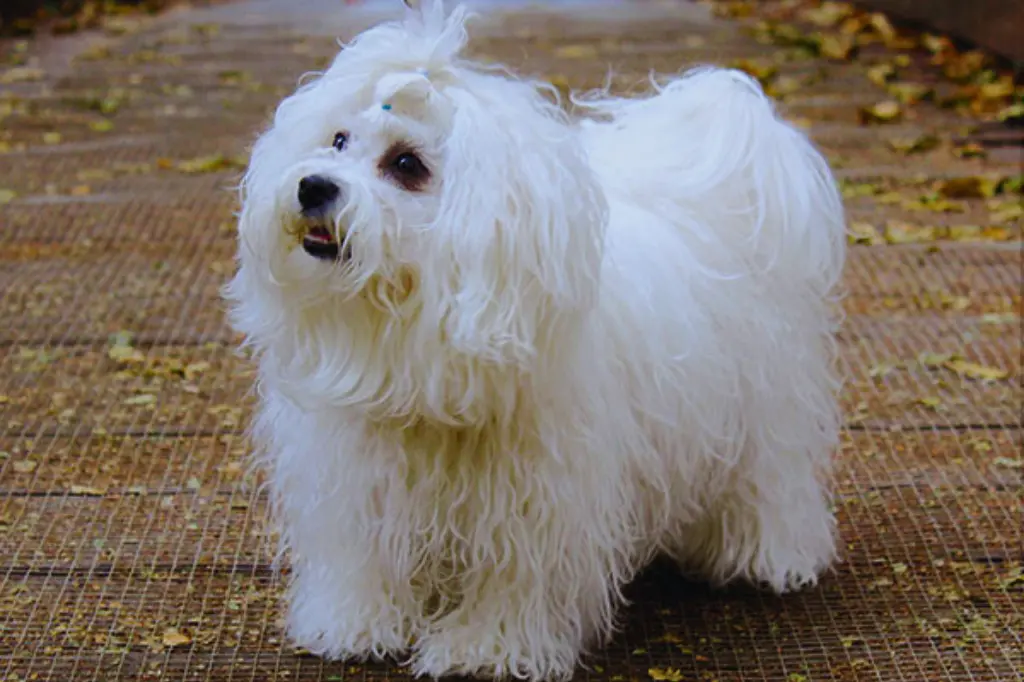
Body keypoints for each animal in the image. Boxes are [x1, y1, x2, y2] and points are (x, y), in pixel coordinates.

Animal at [226, 2, 847, 675]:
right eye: (338, 140)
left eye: (407, 165)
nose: (313, 185)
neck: (418, 340)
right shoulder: (357, 481)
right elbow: (364, 557)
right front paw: (356, 624)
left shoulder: (536, 503)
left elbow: (513, 577)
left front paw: (484, 648)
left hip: (762, 419)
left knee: (769, 483)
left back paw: (765, 556)